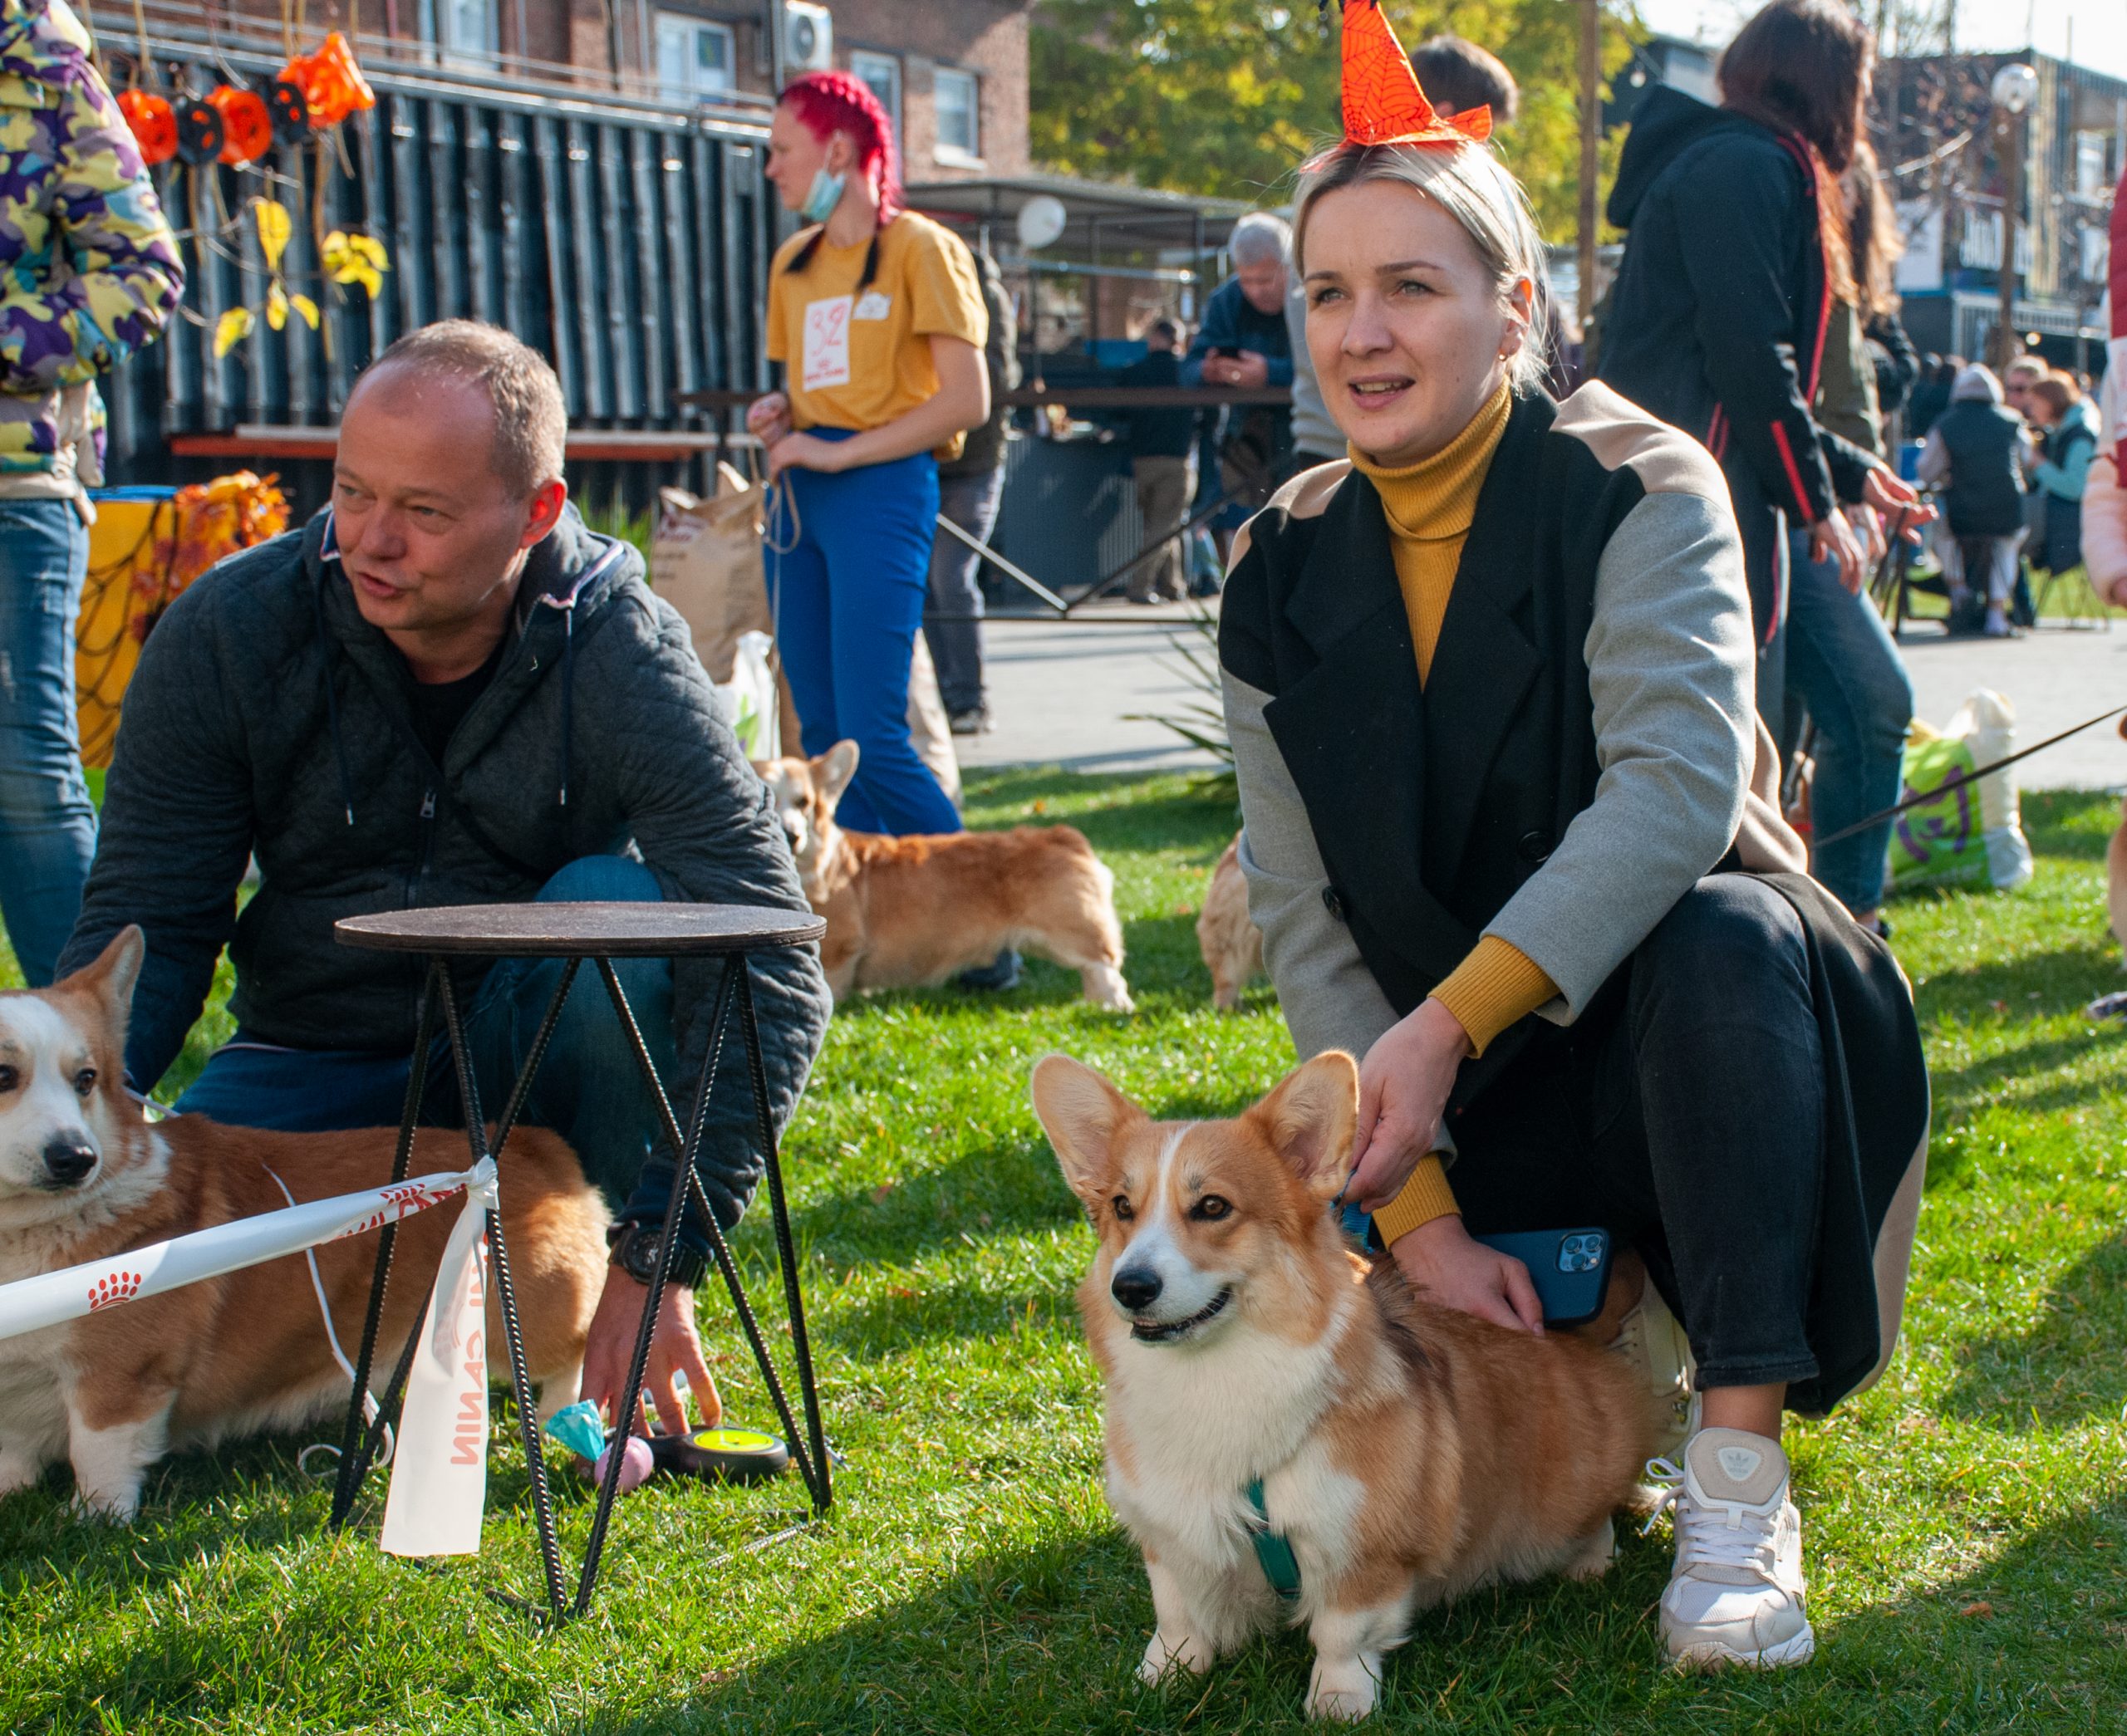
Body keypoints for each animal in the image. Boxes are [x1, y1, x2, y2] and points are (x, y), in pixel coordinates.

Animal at [0, 927, 608, 1514]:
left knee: (580, 1345)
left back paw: (566, 1423)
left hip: (525, 1316)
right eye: (6, 1074)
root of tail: (532, 1145)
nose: (76, 1158)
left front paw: (96, 1519)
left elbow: (98, 1454)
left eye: (85, 1079)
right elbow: (15, 1448)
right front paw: (13, 1491)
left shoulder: (120, 1377)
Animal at [761, 740, 1140, 1008]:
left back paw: (1111, 1006)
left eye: (803, 802)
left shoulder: (839, 950)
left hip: (1071, 930)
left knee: (1103, 966)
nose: (791, 836)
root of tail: (1063, 836)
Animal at [1038, 1051, 1650, 1719]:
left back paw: (1589, 1563)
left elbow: (1342, 1632)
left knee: (1593, 1523)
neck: (1213, 1379)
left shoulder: (1361, 1547)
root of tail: (1579, 1332)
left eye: (1213, 1207)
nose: (1131, 1287)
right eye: (1123, 1208)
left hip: (1573, 1488)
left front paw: (1337, 1701)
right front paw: (1162, 1677)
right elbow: (1177, 1615)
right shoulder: (1169, 1531)